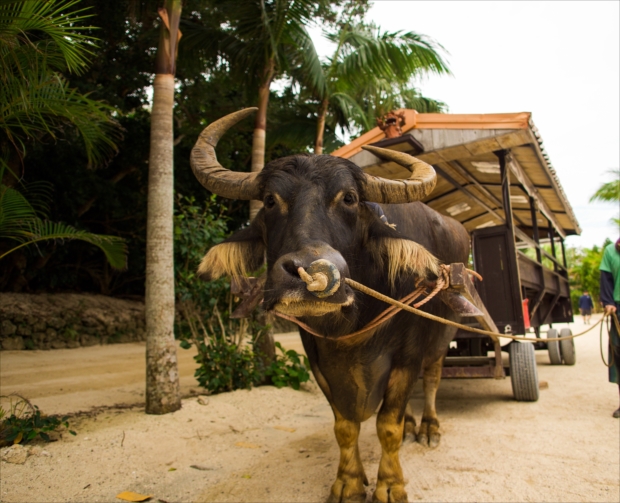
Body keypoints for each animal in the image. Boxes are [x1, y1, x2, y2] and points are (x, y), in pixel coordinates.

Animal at [191, 110, 468, 503]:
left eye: (349, 198)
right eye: (271, 201)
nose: (311, 270)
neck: (352, 325)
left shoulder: (407, 357)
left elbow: (388, 425)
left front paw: (389, 485)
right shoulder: (318, 361)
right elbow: (345, 427)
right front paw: (349, 483)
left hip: (441, 338)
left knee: (430, 380)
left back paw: (428, 427)